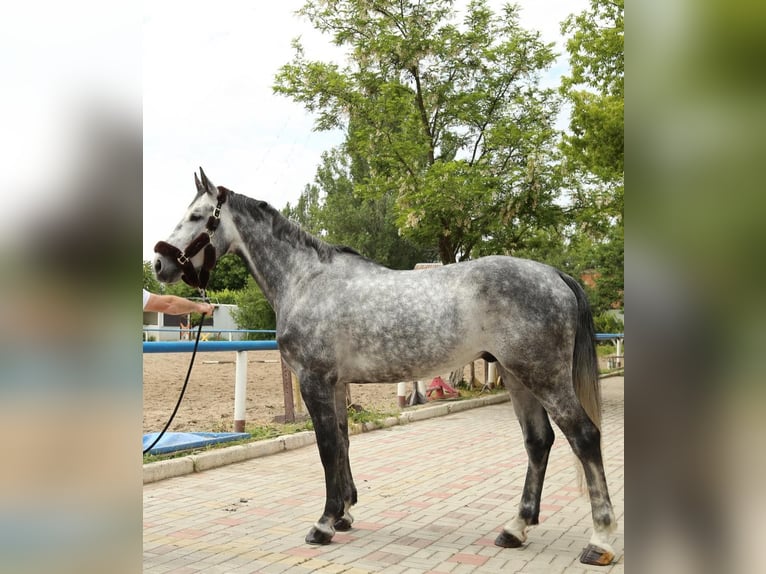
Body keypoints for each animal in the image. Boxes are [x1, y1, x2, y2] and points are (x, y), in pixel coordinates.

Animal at [153, 168, 617, 566]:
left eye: (197, 216)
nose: (160, 264)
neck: (306, 280)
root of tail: (555, 275)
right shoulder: (335, 384)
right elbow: (342, 442)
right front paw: (344, 513)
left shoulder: (314, 381)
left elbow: (326, 447)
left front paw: (324, 524)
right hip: (518, 376)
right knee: (539, 442)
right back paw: (516, 528)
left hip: (544, 376)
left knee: (584, 436)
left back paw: (600, 540)